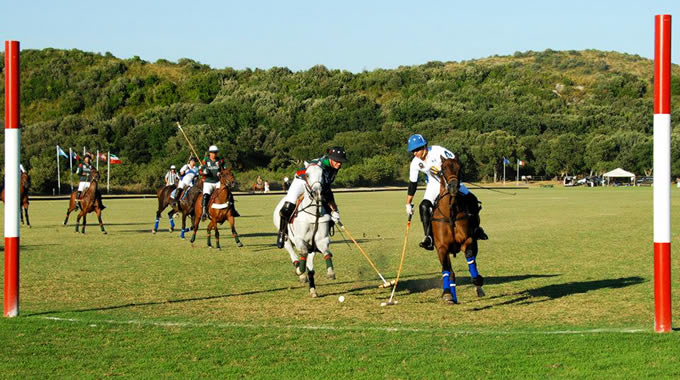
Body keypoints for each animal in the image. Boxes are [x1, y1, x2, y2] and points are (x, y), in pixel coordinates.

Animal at [270, 163, 334, 296]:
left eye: (323, 174)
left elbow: (327, 252)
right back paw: (300, 272)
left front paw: (331, 273)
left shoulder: (321, 240)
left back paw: (312, 289)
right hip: (286, 238)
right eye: (307, 174)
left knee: (311, 268)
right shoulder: (300, 240)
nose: (316, 192)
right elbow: (302, 253)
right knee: (292, 253)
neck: (313, 213)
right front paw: (300, 271)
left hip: (312, 248)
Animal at [436, 156, 484, 304]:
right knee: (449, 270)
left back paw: (478, 288)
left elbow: (470, 258)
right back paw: (452, 296)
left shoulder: (468, 240)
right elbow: (447, 269)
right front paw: (447, 293)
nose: (453, 187)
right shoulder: (442, 247)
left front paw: (477, 280)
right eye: (443, 168)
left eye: (459, 167)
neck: (450, 212)